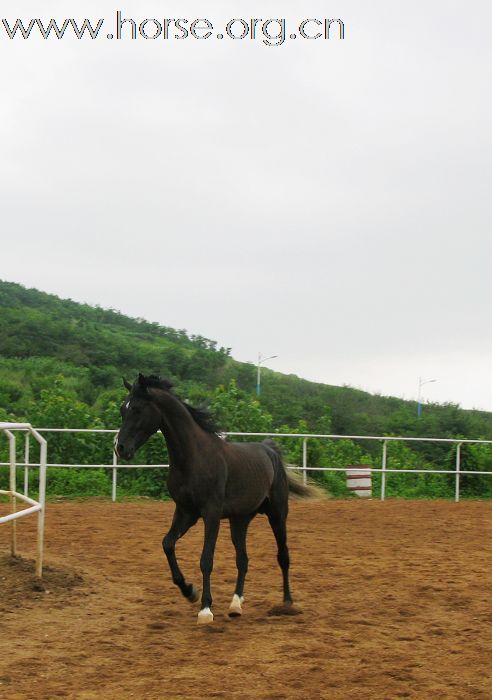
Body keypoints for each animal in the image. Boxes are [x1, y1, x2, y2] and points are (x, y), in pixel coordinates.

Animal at [116, 374, 316, 628]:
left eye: (138, 409)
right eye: (123, 409)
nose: (120, 448)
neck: (194, 457)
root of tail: (269, 450)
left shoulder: (210, 514)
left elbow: (206, 559)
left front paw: (205, 610)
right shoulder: (186, 512)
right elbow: (167, 544)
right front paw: (190, 592)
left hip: (277, 515)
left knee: (283, 556)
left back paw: (287, 603)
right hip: (240, 520)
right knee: (243, 559)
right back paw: (236, 605)